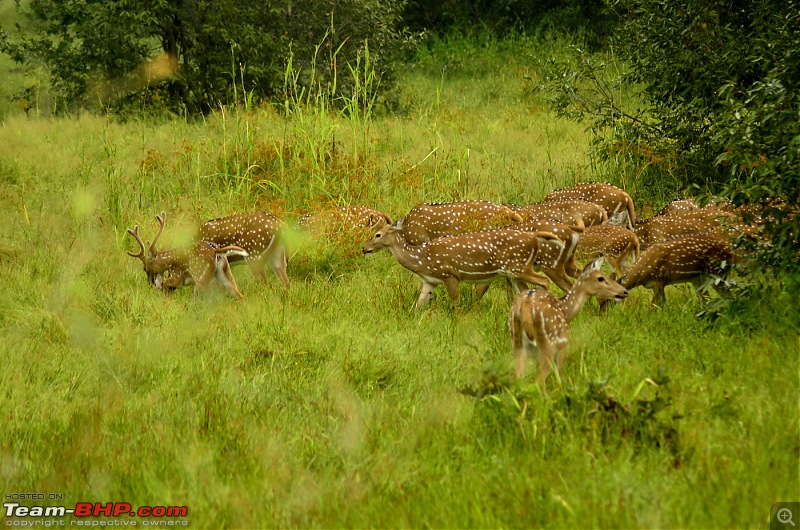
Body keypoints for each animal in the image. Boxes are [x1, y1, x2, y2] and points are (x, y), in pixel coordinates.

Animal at [362, 221, 564, 308]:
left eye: (378, 234)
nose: (364, 248)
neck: (422, 260)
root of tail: (534, 237)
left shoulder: (450, 274)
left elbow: (455, 303)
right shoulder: (430, 281)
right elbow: (419, 305)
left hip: (518, 267)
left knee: (544, 281)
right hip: (514, 273)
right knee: (525, 290)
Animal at [510, 258, 628, 386]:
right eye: (600, 278)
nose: (625, 292)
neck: (566, 310)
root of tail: (525, 304)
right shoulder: (563, 344)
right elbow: (559, 377)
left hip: (517, 342)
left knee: (519, 378)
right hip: (548, 343)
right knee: (539, 381)